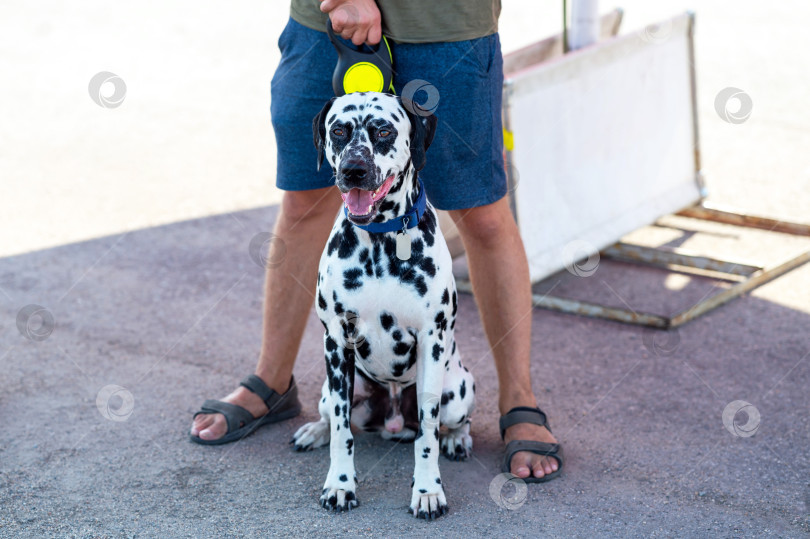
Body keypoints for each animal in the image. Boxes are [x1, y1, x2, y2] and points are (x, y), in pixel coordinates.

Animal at [292, 92, 474, 520]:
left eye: (384, 131)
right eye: (339, 131)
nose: (354, 170)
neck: (380, 239)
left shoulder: (431, 341)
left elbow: (428, 435)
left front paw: (427, 490)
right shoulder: (335, 343)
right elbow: (342, 432)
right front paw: (340, 485)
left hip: (457, 393)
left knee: (452, 423)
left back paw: (458, 439)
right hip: (329, 390)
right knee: (331, 418)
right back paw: (313, 430)